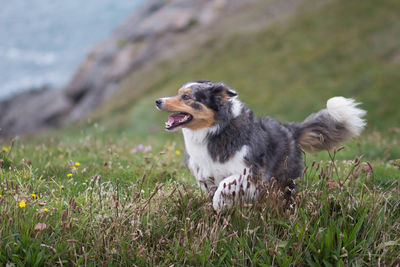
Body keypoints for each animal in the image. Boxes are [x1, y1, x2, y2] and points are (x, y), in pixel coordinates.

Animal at [155, 80, 368, 213]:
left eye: (187, 97)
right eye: (178, 93)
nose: (158, 101)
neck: (213, 131)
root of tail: (289, 129)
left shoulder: (250, 173)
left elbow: (224, 186)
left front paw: (219, 205)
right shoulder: (205, 176)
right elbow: (214, 189)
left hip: (284, 179)